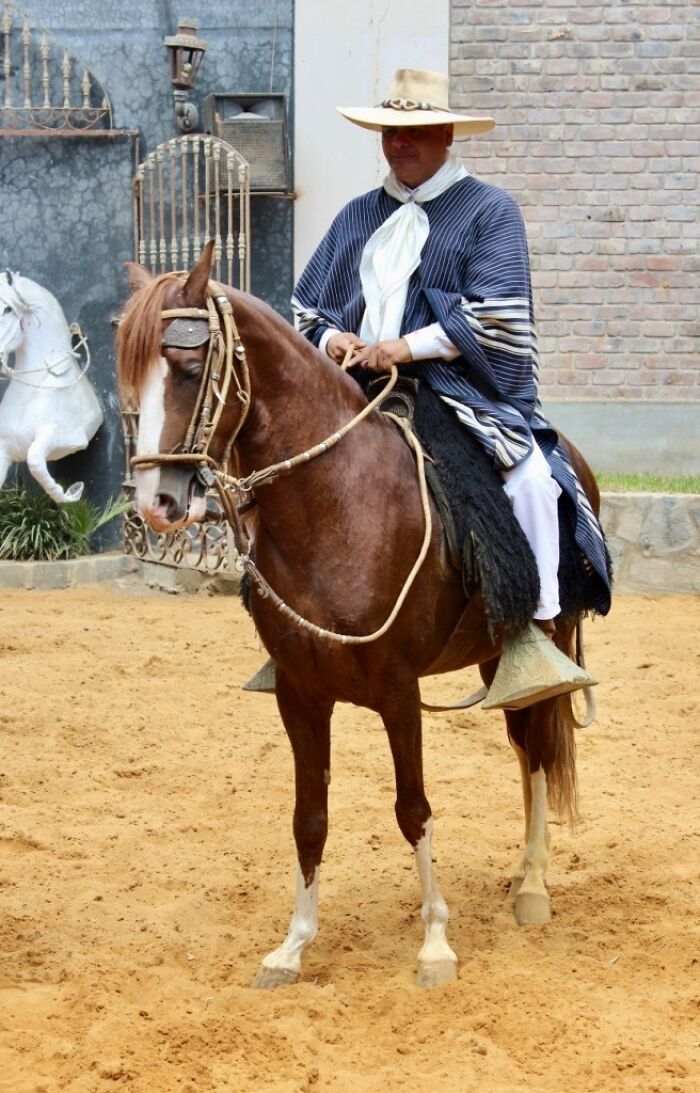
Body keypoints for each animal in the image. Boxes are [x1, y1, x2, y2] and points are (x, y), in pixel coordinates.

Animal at [117, 240, 605, 989]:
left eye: (190, 369)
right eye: (128, 375)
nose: (156, 502)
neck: (336, 506)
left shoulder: (397, 689)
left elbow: (413, 808)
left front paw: (434, 942)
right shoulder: (299, 694)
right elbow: (308, 818)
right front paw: (292, 945)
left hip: (547, 635)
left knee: (542, 750)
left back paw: (533, 885)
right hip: (495, 657)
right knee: (526, 749)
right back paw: (523, 874)